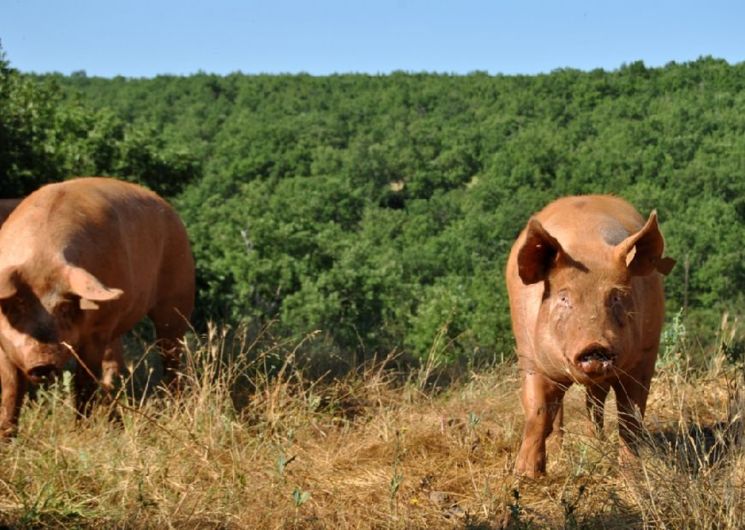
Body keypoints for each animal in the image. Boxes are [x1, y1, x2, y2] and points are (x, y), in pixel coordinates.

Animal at [0, 177, 195, 434]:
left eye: (64, 308)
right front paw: (7, 438)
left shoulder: (96, 331)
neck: (42, 256)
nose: (42, 362)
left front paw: (80, 432)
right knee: (114, 365)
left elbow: (83, 383)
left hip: (178, 292)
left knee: (170, 357)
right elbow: (11, 389)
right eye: (17, 307)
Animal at [506, 194, 676, 474]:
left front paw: (632, 473)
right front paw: (525, 474)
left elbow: (631, 415)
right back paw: (559, 451)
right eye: (564, 298)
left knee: (594, 402)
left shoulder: (645, 357)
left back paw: (595, 444)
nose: (594, 345)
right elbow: (537, 411)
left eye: (616, 296)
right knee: (560, 408)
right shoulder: (530, 355)